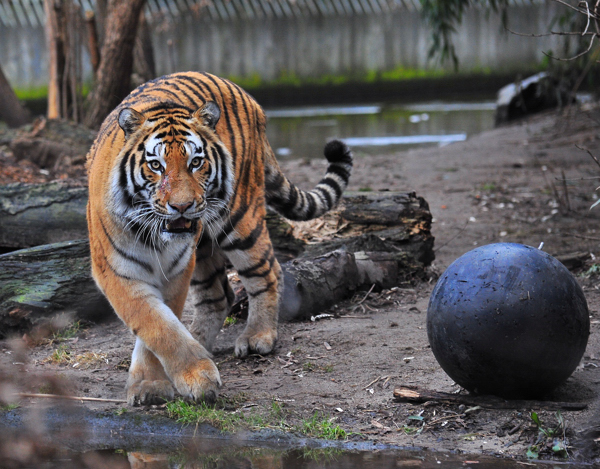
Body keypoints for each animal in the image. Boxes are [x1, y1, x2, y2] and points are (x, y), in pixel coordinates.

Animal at [85, 71, 352, 404]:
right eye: (156, 165)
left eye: (195, 162)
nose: (182, 206)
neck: (154, 234)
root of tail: (243, 92)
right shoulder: (116, 270)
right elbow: (155, 323)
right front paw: (161, 381)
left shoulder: (175, 269)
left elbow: (160, 325)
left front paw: (186, 378)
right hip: (203, 249)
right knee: (219, 295)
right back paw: (200, 341)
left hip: (238, 221)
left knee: (266, 272)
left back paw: (258, 336)